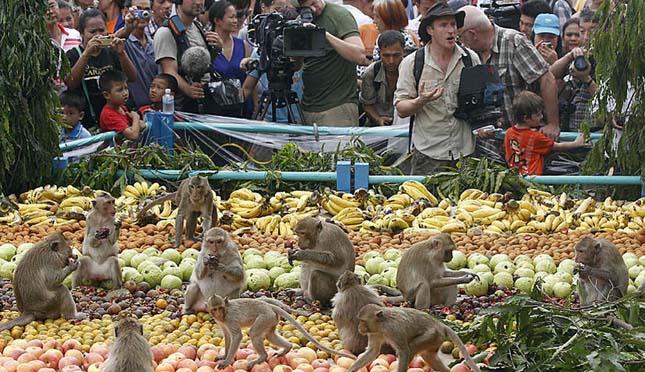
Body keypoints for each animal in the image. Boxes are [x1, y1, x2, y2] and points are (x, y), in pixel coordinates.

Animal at [206, 294, 354, 370]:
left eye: (220, 307)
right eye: (215, 309)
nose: (218, 314)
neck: (225, 313)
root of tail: (269, 306)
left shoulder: (230, 318)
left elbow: (237, 336)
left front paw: (226, 362)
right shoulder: (222, 322)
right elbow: (227, 336)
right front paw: (224, 356)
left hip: (264, 317)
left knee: (254, 334)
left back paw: (262, 357)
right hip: (271, 319)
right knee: (269, 335)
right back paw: (287, 348)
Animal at [348, 304, 478, 372]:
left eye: (362, 321)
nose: (359, 327)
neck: (381, 324)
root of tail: (439, 324)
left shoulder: (394, 330)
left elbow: (404, 351)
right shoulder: (374, 333)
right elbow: (372, 351)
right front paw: (351, 370)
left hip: (432, 335)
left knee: (412, 347)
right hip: (436, 339)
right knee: (429, 356)